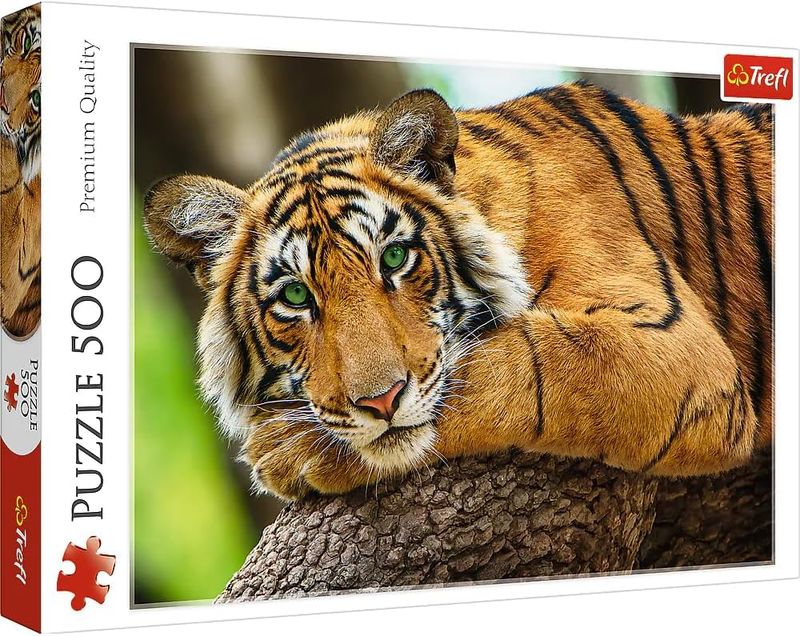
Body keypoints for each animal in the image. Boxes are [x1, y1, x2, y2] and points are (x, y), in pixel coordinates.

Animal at [144, 80, 772, 501]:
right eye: (296, 297)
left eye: (395, 258)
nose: (380, 402)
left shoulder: (674, 345)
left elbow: (517, 363)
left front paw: (286, 450)